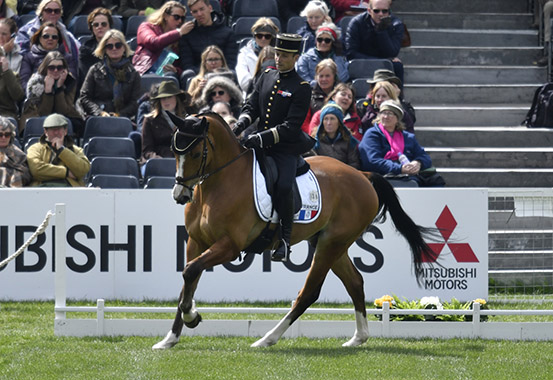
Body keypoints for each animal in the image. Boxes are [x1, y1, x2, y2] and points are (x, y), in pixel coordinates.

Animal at [152, 113, 436, 350]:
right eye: (174, 152)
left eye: (195, 152)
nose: (180, 195)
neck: (216, 185)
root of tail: (363, 175)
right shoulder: (196, 242)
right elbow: (188, 279)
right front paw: (170, 338)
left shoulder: (230, 246)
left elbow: (190, 272)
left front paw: (192, 317)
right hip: (329, 243)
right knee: (355, 282)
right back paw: (358, 338)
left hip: (331, 244)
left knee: (309, 293)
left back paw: (267, 339)